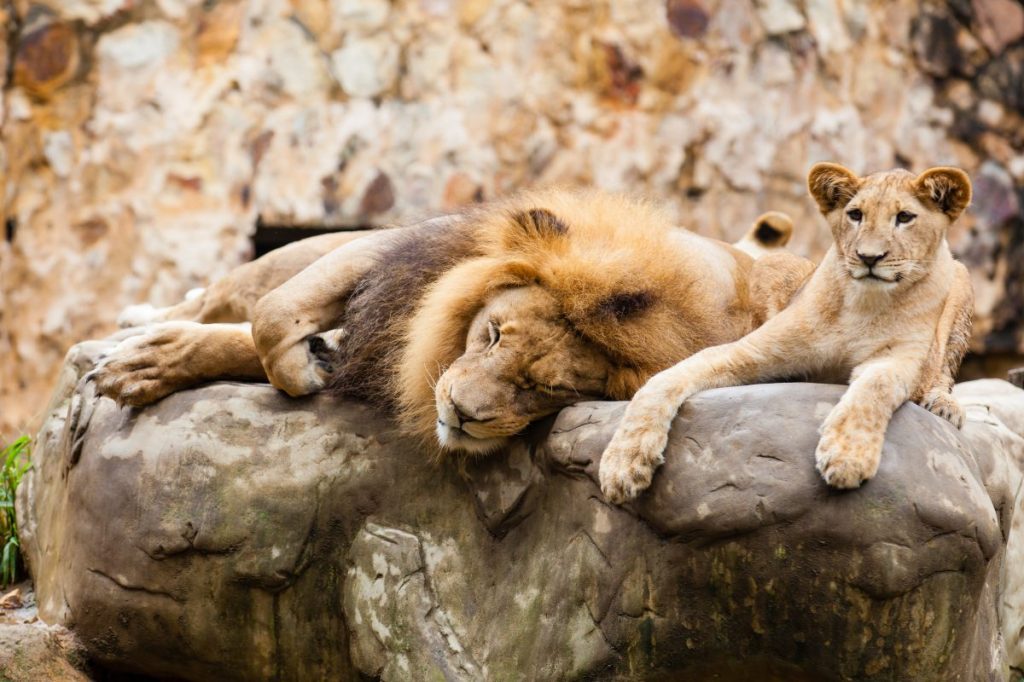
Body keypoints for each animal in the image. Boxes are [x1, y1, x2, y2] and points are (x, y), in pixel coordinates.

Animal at [94, 187, 798, 450]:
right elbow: (272, 319)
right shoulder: (406, 260)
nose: (460, 414)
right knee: (225, 294)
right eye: (491, 334)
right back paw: (138, 318)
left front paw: (147, 366)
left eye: (551, 389)